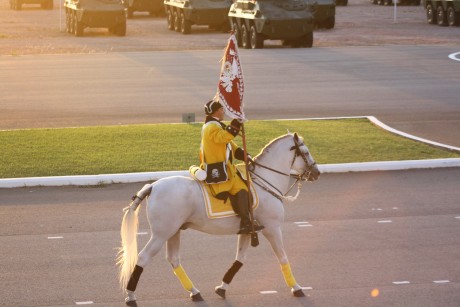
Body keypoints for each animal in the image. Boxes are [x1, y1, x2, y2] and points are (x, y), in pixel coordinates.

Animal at [117, 132, 320, 306]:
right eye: (306, 152)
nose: (316, 172)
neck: (264, 182)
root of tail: (152, 186)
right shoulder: (272, 228)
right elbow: (283, 257)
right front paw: (297, 288)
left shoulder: (248, 230)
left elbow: (240, 259)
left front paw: (222, 287)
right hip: (161, 234)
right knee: (143, 258)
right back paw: (130, 296)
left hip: (173, 231)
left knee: (174, 259)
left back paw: (195, 292)